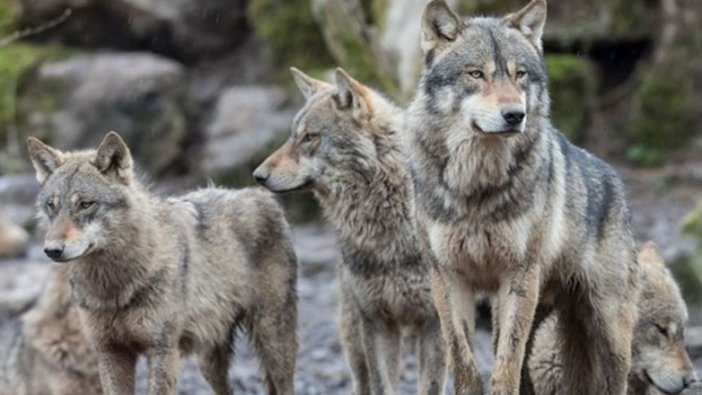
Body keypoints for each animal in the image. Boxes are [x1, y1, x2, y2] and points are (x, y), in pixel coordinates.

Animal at [26, 133, 296, 395]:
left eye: (85, 204)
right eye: (52, 206)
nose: (52, 250)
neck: (114, 287)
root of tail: (259, 195)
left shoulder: (162, 351)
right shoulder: (110, 352)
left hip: (273, 341)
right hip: (209, 362)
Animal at [256, 68, 448, 395]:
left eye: (310, 137)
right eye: (293, 135)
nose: (258, 176)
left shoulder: (435, 323)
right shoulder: (375, 321)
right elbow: (382, 386)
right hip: (353, 337)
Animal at [408, 1, 644, 394]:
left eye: (519, 75)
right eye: (476, 74)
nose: (514, 115)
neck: (477, 187)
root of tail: (614, 179)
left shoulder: (516, 277)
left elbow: (507, 363)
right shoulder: (447, 277)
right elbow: (464, 361)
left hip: (607, 326)